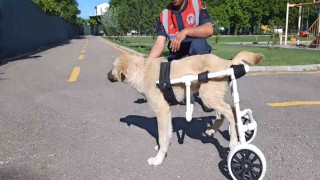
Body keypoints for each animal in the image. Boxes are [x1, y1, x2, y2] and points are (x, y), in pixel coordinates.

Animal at [107, 50, 262, 166]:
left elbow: (162, 136)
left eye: (113, 66)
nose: (107, 75)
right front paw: (163, 149)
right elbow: (167, 133)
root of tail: (227, 62)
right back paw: (213, 130)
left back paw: (234, 142)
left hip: (208, 96)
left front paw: (158, 159)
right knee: (229, 111)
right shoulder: (166, 111)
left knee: (230, 112)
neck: (142, 71)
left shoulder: (161, 111)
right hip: (213, 97)